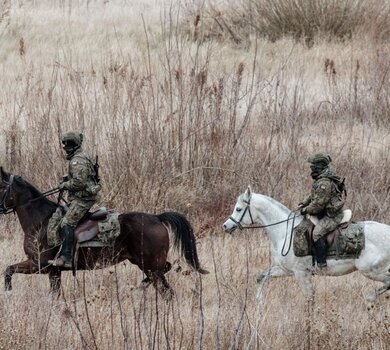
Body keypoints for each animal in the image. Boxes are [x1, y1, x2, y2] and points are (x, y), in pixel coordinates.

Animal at [0, 168, 209, 300]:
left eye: (0, 186)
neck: (41, 221)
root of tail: (157, 218)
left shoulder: (40, 264)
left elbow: (8, 270)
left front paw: (8, 292)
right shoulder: (53, 271)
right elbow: (54, 294)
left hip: (150, 264)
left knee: (166, 290)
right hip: (145, 262)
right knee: (166, 270)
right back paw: (141, 285)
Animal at [222, 186, 390, 300]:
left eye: (238, 209)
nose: (226, 226)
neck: (285, 232)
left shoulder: (301, 273)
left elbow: (309, 298)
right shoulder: (285, 270)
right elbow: (261, 277)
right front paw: (259, 301)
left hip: (371, 270)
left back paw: (370, 298)